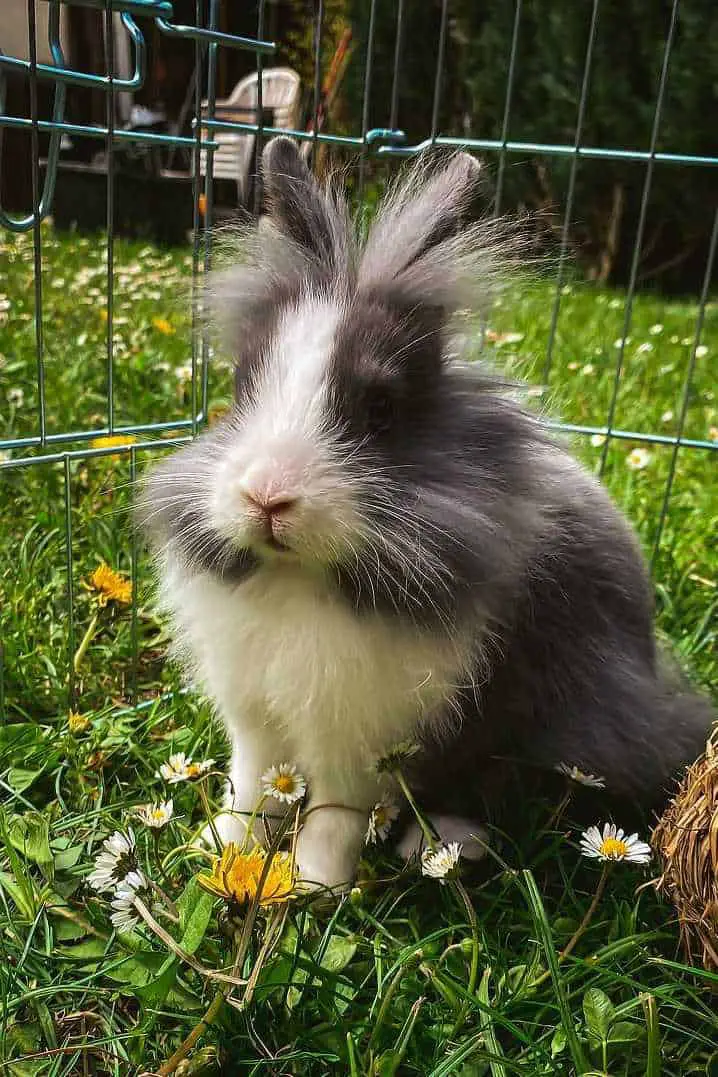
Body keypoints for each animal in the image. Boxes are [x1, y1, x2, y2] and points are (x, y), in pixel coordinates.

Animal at [137, 136, 714, 891]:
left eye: (381, 410)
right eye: (241, 389)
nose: (265, 496)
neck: (300, 577)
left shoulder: (361, 732)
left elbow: (334, 813)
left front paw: (315, 888)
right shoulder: (255, 719)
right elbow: (252, 786)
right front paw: (219, 853)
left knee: (493, 783)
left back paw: (444, 845)